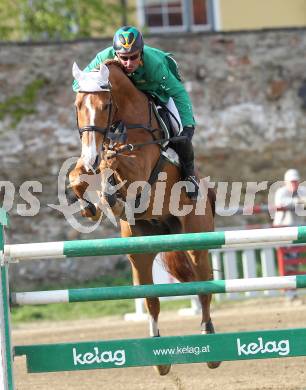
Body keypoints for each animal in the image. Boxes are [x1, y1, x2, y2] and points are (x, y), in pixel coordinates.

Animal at [69, 58, 221, 374]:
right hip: (139, 249)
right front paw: (91, 205)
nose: (91, 156)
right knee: (151, 299)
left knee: (203, 290)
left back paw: (210, 344)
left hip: (195, 243)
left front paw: (108, 193)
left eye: (105, 105)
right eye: (78, 105)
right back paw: (158, 357)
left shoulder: (139, 165)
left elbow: (114, 163)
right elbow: (77, 175)